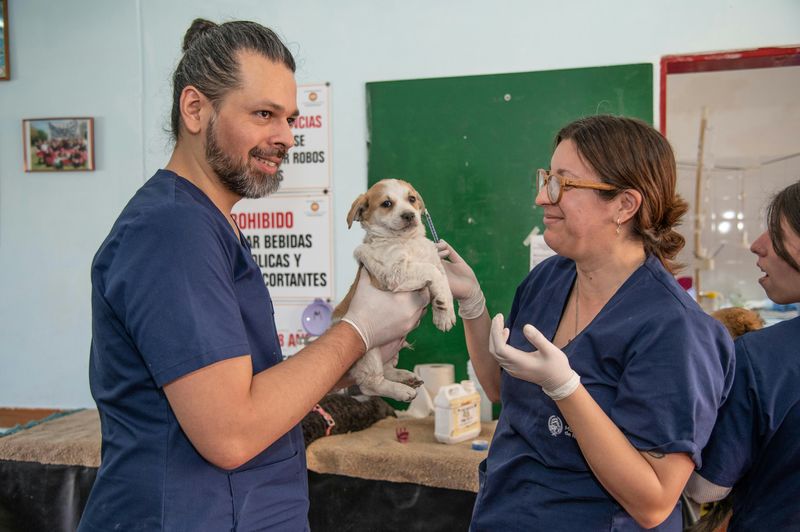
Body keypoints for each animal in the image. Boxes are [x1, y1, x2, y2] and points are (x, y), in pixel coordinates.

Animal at [332, 179, 456, 400]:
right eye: (387, 204)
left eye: (412, 199)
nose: (409, 215)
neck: (407, 242)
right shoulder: (393, 273)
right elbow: (430, 270)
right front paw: (443, 308)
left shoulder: (435, 263)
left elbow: (443, 281)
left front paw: (444, 313)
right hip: (369, 352)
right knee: (371, 384)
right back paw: (401, 391)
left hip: (391, 352)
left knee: (388, 368)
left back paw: (406, 376)